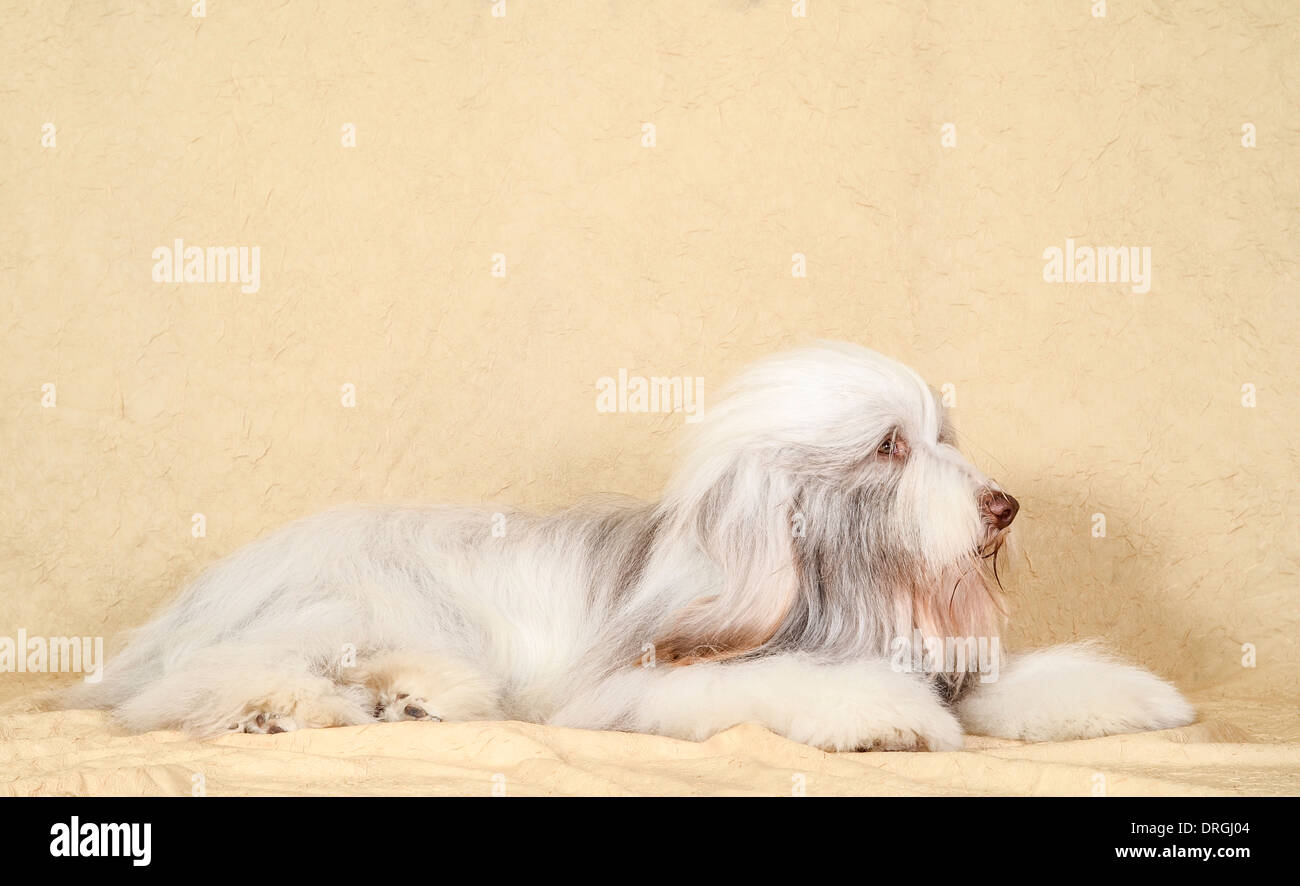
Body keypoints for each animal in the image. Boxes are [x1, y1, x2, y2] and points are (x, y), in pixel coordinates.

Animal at [65, 340, 1190, 748]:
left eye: (943, 437)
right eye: (888, 446)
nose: (1004, 506)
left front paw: (1131, 698)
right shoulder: (642, 682)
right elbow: (787, 684)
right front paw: (885, 716)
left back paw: (414, 698)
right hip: (347, 599)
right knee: (194, 684)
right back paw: (281, 706)